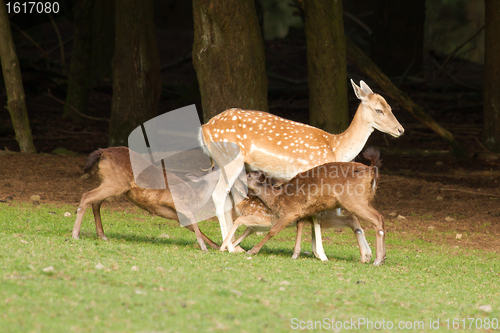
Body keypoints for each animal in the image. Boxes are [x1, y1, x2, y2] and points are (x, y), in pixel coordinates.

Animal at [73, 147, 221, 250]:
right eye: (213, 167)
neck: (194, 198)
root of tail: (103, 152)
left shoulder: (173, 213)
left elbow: (192, 226)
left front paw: (217, 246)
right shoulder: (170, 198)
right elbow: (192, 215)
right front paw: (203, 246)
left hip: (110, 182)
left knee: (96, 202)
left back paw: (102, 235)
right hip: (116, 182)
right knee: (87, 196)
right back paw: (75, 234)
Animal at [199, 81, 402, 252]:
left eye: (390, 107)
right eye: (379, 110)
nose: (400, 130)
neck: (335, 148)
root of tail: (205, 128)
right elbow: (317, 216)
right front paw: (320, 253)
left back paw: (234, 246)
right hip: (230, 159)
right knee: (218, 195)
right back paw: (228, 247)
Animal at [244, 149, 384, 266]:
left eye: (249, 175)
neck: (277, 199)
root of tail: (371, 169)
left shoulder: (290, 211)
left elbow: (272, 230)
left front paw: (252, 251)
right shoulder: (302, 212)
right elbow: (299, 227)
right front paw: (295, 254)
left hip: (354, 200)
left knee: (377, 217)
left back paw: (378, 260)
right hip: (361, 201)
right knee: (362, 219)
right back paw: (372, 257)